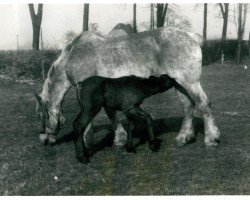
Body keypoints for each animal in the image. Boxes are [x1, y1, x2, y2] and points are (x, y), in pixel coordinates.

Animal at [34, 27, 219, 150]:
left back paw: (211, 137)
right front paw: (120, 138)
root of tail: (192, 36)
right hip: (179, 84)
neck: (74, 57)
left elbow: (93, 117)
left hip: (190, 82)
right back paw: (183, 137)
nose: (43, 140)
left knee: (203, 104)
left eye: (40, 115)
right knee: (188, 107)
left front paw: (88, 140)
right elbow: (111, 114)